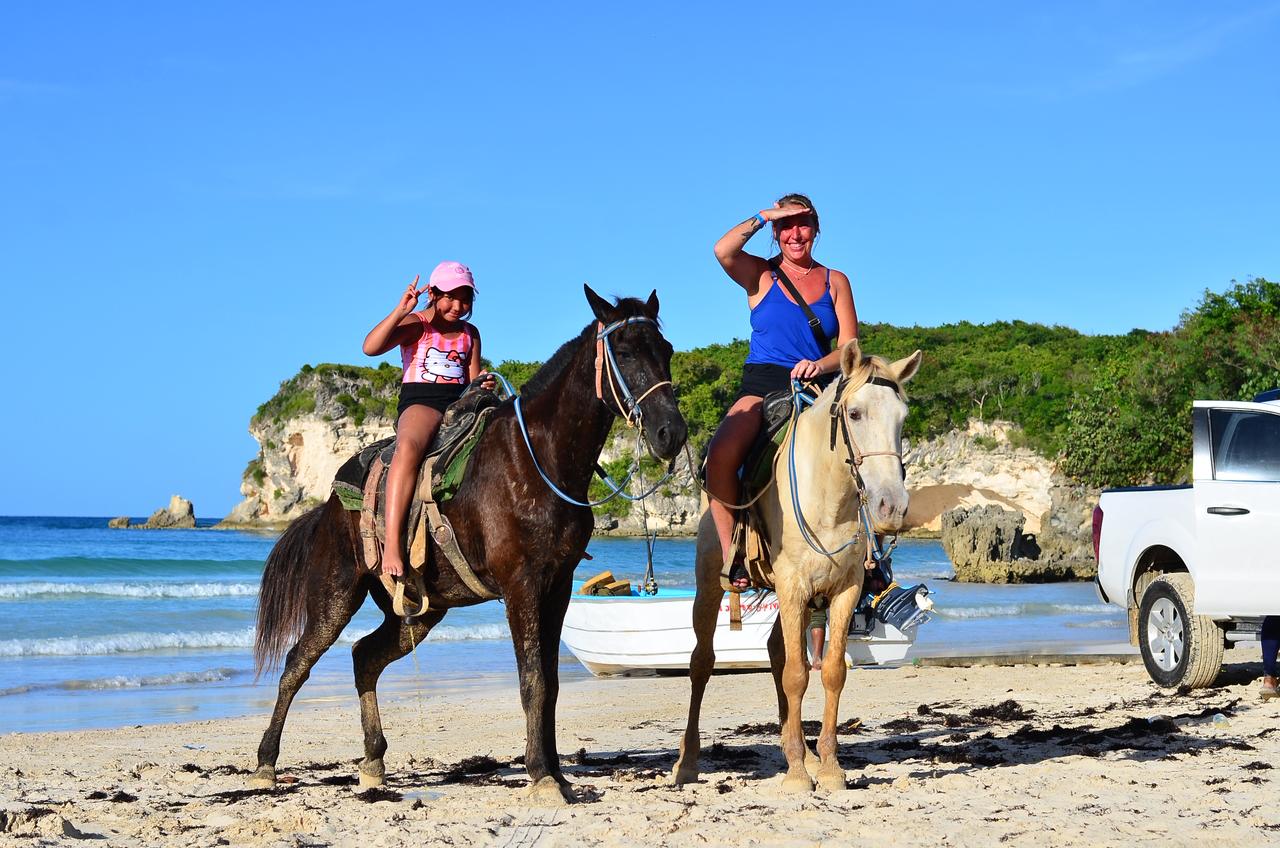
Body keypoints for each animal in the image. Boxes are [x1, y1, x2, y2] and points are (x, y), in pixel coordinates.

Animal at [250, 286, 687, 804]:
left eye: (667, 350)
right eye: (624, 350)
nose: (671, 433)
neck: (538, 459)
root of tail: (329, 505)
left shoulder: (557, 587)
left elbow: (552, 681)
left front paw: (556, 773)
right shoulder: (521, 585)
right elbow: (533, 680)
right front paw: (541, 775)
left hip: (419, 610)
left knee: (364, 659)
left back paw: (373, 762)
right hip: (334, 596)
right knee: (297, 663)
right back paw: (266, 764)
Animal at [672, 339, 921, 793]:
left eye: (902, 418)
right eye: (855, 414)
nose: (891, 506)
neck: (828, 497)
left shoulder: (843, 590)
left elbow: (830, 671)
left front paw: (827, 765)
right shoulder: (792, 587)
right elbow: (795, 675)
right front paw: (796, 775)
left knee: (774, 651)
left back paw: (800, 749)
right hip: (711, 583)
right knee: (702, 663)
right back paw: (687, 762)